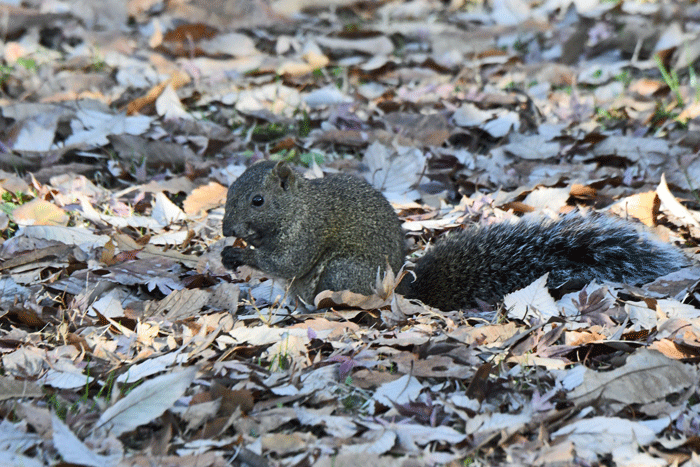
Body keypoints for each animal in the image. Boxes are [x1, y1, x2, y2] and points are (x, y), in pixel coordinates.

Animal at [223, 160, 688, 310]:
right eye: (228, 192)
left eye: (258, 201)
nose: (227, 229)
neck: (298, 206)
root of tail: (400, 291)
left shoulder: (309, 230)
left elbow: (290, 261)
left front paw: (242, 256)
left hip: (344, 271)